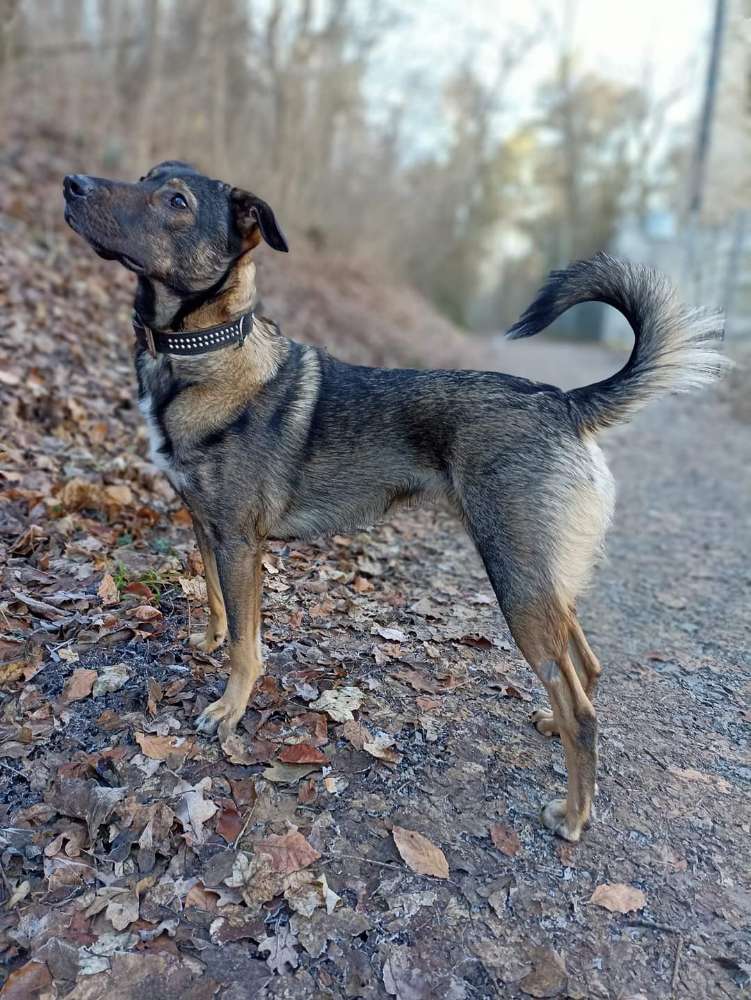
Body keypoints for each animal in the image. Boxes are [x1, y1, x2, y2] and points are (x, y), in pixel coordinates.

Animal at [64, 160, 728, 840]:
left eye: (175, 201)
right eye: (148, 177)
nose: (73, 185)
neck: (206, 356)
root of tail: (566, 403)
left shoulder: (241, 542)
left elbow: (247, 645)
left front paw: (229, 707)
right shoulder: (206, 526)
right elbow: (218, 606)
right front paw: (208, 641)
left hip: (517, 581)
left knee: (581, 707)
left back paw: (573, 813)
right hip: (544, 579)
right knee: (586, 667)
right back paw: (555, 729)